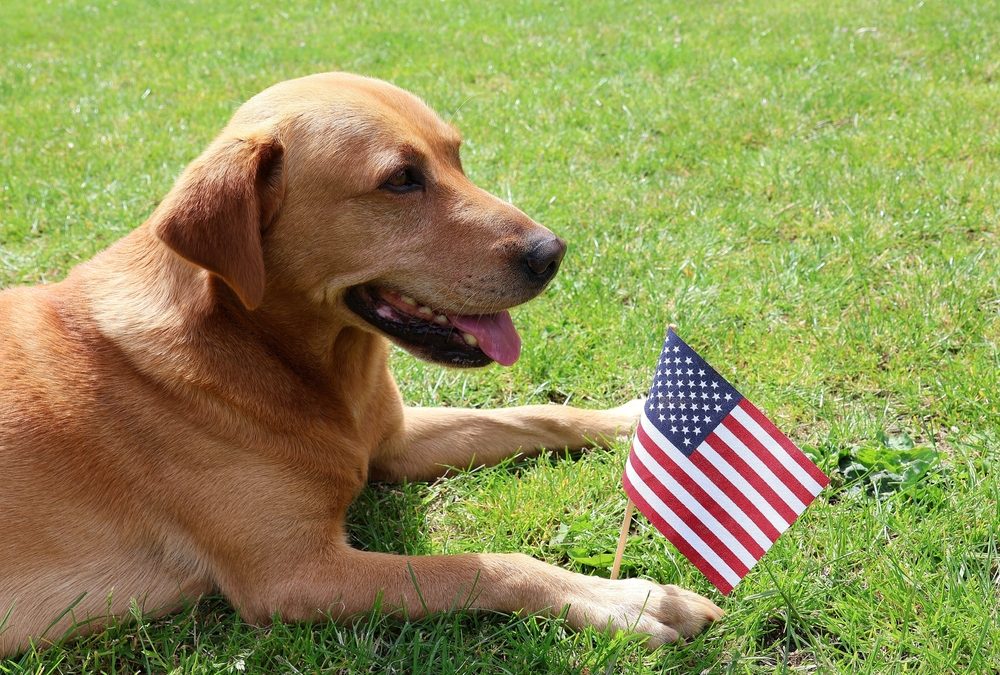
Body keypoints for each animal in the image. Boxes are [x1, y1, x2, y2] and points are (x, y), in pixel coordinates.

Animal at [0, 72, 720, 656]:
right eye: (400, 179)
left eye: (456, 155)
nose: (552, 252)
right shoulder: (294, 575)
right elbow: (481, 564)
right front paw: (624, 598)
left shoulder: (389, 440)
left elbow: (532, 414)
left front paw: (640, 419)